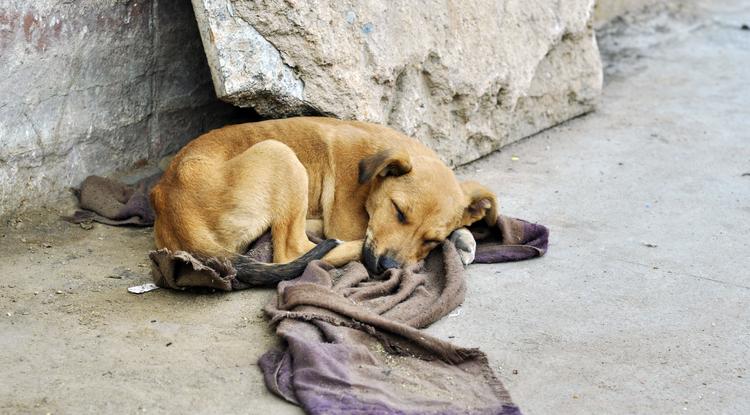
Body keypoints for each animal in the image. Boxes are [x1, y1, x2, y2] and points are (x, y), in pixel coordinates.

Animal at [149, 117, 496, 286]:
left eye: (431, 239)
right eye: (398, 211)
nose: (386, 268)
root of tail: (170, 203)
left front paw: (462, 237)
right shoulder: (349, 222)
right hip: (280, 154)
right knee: (292, 250)